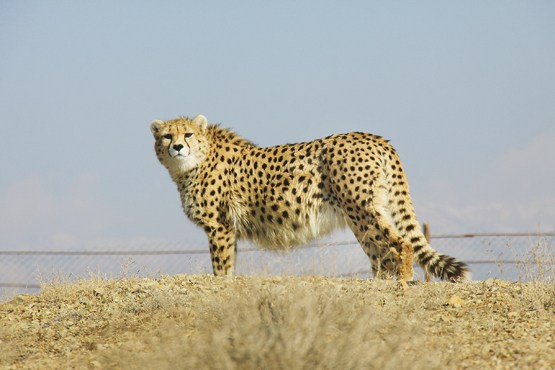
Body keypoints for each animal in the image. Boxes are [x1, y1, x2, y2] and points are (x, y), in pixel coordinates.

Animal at [151, 114, 470, 282]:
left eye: (188, 134)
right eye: (167, 136)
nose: (177, 147)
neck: (190, 165)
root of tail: (375, 137)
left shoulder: (220, 227)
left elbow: (222, 265)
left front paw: (222, 283)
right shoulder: (228, 228)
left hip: (361, 207)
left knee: (400, 243)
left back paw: (402, 281)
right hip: (361, 215)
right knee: (379, 252)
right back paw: (381, 282)